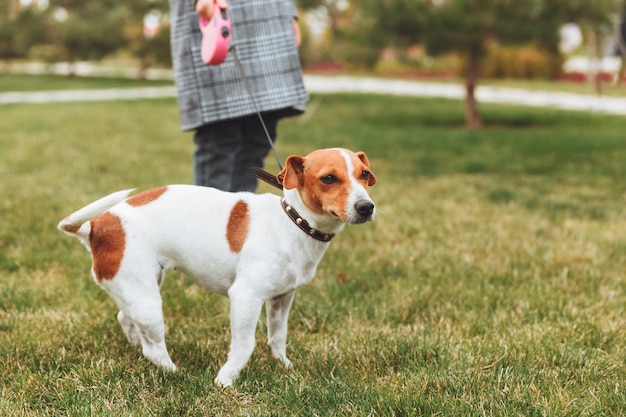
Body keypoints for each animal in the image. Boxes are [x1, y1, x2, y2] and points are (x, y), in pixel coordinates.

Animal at [57, 147, 376, 386]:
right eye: (329, 178)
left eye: (364, 175)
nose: (366, 207)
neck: (293, 221)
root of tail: (95, 227)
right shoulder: (245, 298)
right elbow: (245, 345)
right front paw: (226, 379)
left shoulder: (281, 300)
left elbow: (278, 337)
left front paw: (284, 366)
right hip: (148, 303)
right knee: (154, 349)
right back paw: (175, 373)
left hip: (139, 289)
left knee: (126, 319)